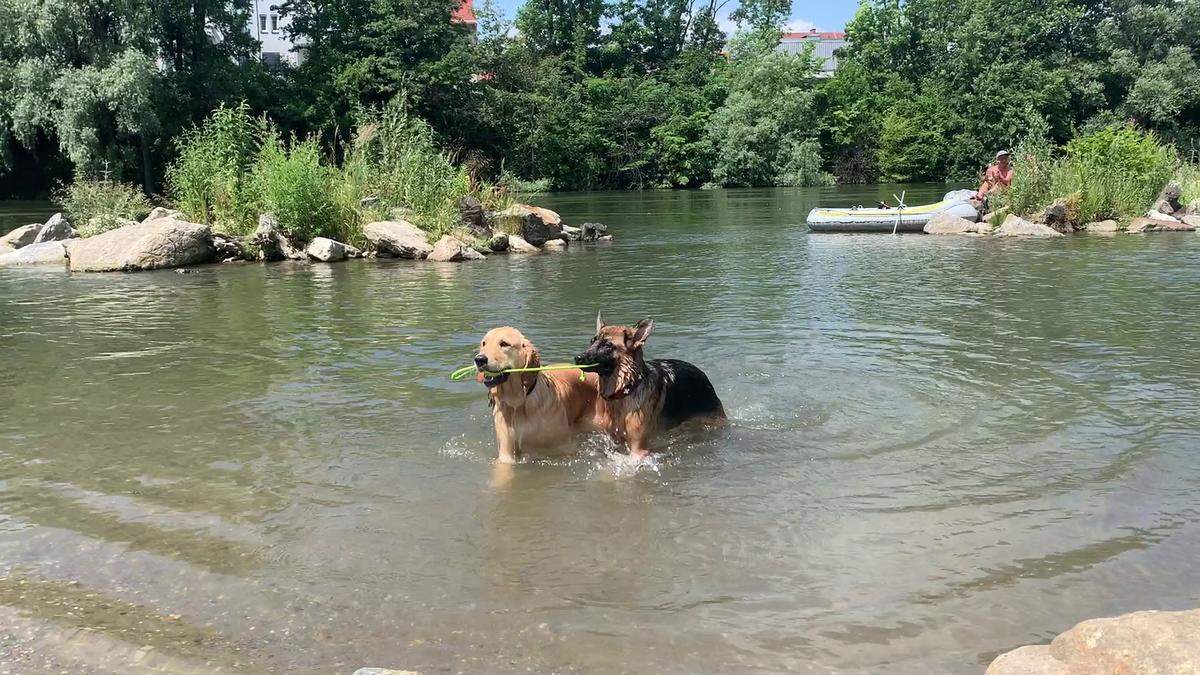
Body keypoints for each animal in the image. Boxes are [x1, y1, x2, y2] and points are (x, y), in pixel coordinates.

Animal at [470, 326, 597, 461]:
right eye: (484, 343)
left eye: (504, 344)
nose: (479, 359)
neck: (517, 403)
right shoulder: (506, 448)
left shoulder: (562, 448)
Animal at [576, 314, 724, 458]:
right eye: (592, 341)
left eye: (608, 345)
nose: (577, 358)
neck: (626, 390)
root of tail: (702, 374)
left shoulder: (638, 449)